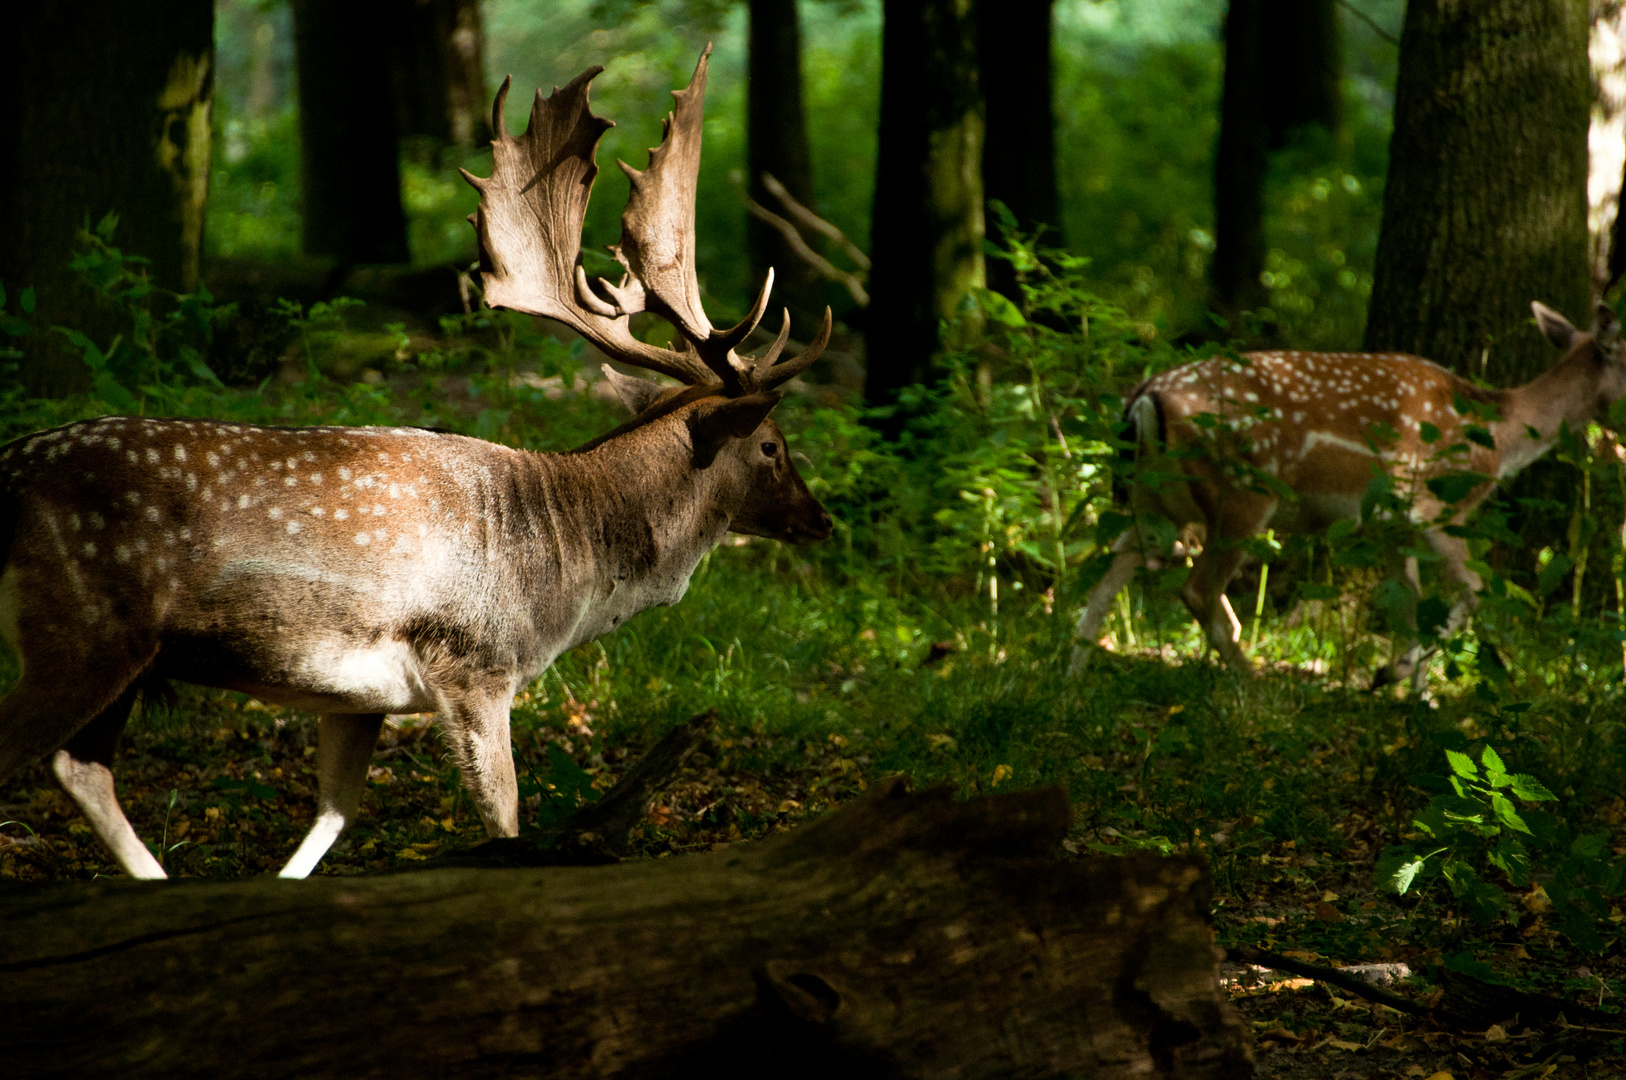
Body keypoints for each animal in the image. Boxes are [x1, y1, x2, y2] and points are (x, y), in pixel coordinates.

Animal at [0, 48, 832, 878]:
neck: (567, 569)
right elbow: (504, 819)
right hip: (82, 629)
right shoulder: (476, 663)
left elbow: (335, 814)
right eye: (772, 444)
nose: (822, 519)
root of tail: (12, 465)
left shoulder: (359, 698)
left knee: (82, 766)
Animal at [1073, 299, 1619, 679]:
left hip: (1151, 500)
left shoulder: (1391, 528)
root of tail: (1143, 398)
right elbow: (1474, 590)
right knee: (1198, 590)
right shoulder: (1434, 507)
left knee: (1106, 579)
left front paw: (1412, 698)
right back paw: (1256, 694)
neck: (1500, 442)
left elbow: (1409, 607)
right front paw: (1393, 674)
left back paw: (1072, 681)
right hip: (1242, 495)